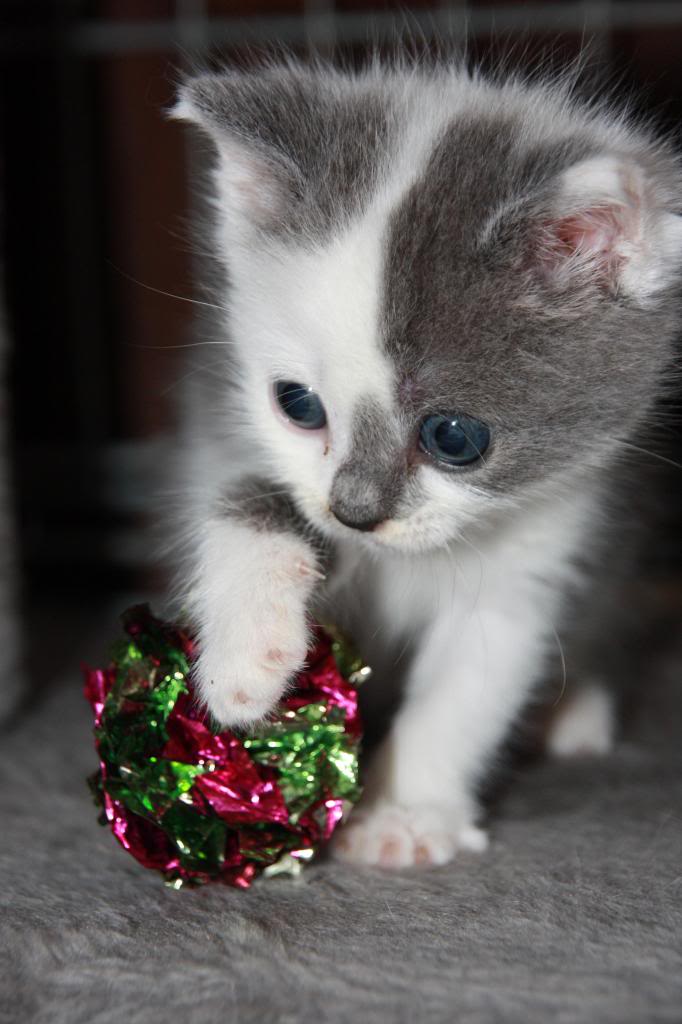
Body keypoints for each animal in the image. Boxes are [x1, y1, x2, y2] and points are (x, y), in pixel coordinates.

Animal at [168, 59, 679, 868]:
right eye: (296, 404)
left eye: (454, 438)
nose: (355, 513)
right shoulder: (229, 425)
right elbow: (246, 496)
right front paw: (246, 653)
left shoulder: (551, 537)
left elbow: (473, 680)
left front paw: (406, 810)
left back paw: (577, 711)